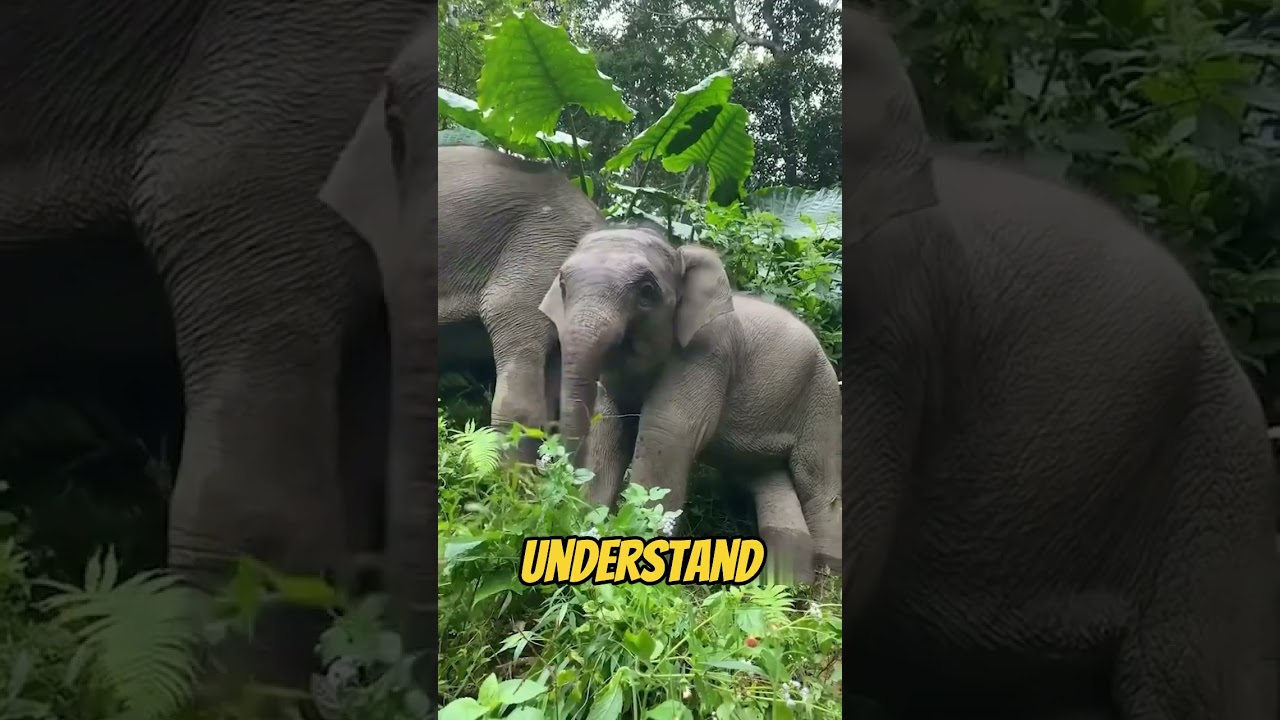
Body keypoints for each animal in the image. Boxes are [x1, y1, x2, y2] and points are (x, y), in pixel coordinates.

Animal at [537, 227, 841, 582]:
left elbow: (666, 431)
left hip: (821, 398)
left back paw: (826, 573)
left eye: (646, 291)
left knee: (816, 482)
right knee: (770, 478)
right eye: (562, 286)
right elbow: (609, 431)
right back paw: (788, 584)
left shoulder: (707, 352)